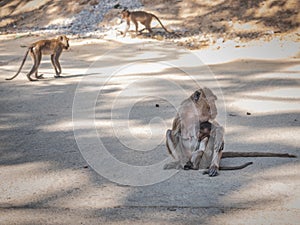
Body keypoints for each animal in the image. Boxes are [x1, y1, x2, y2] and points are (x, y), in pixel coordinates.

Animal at [165, 87, 296, 177]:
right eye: (210, 101)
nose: (214, 108)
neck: (195, 112)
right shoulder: (183, 110)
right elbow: (174, 132)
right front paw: (181, 163)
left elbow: (216, 128)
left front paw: (219, 139)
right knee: (169, 133)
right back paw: (184, 163)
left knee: (209, 140)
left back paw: (212, 166)